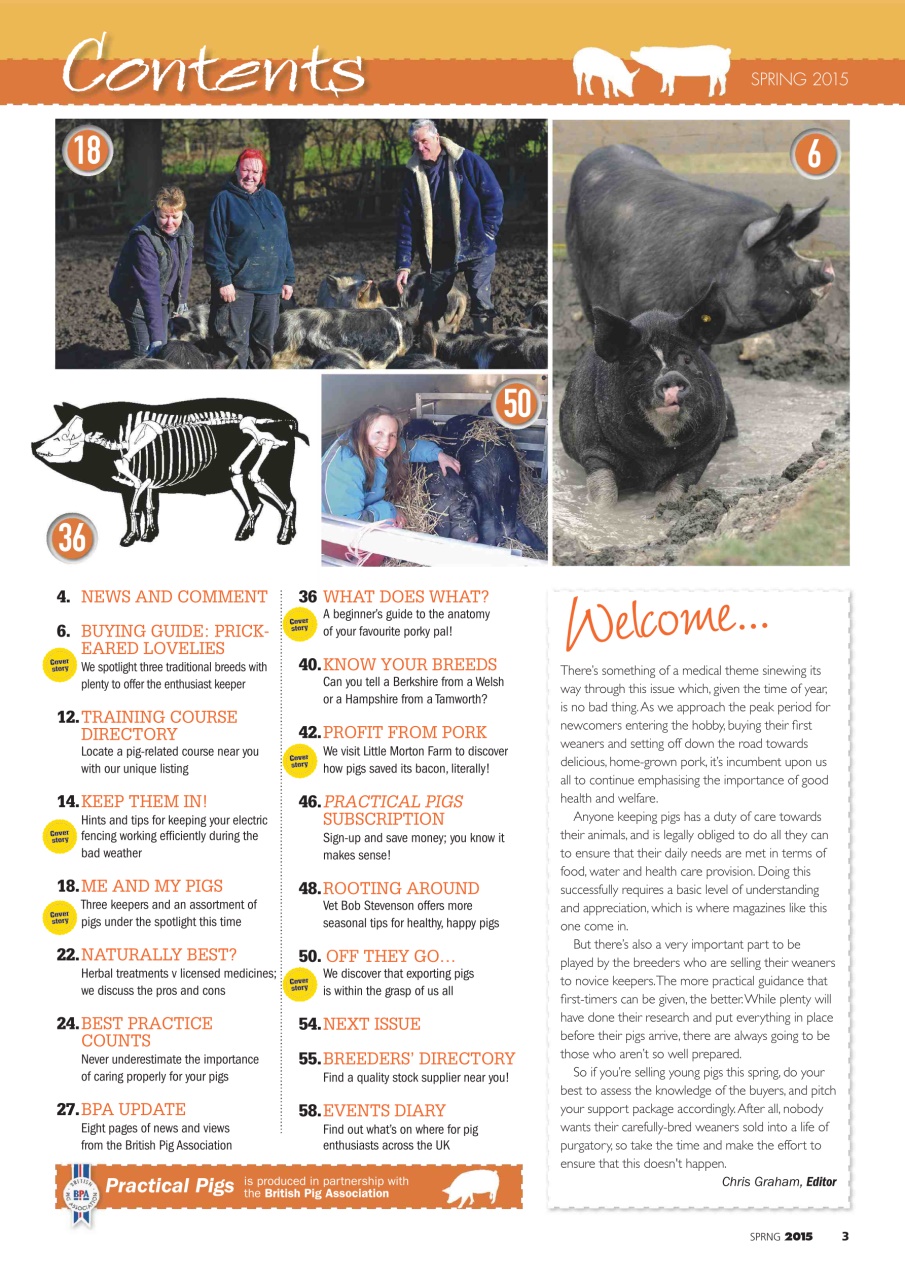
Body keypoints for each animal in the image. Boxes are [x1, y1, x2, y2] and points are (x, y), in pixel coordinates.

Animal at [559, 284, 735, 507]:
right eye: (640, 367)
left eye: (686, 359)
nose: (671, 376)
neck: (660, 452)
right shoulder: (593, 449)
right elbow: (604, 492)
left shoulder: (701, 455)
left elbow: (675, 489)